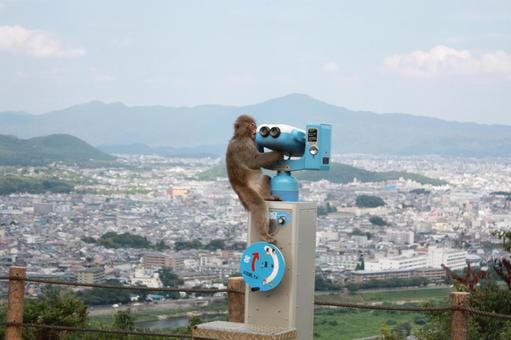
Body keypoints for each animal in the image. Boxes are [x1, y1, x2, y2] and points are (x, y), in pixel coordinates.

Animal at [228, 115, 284, 243]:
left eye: (254, 125)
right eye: (251, 125)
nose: (255, 129)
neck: (241, 135)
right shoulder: (243, 145)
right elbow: (254, 161)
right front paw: (278, 152)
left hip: (257, 185)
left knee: (266, 178)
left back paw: (267, 196)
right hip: (246, 192)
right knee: (259, 205)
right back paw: (264, 235)